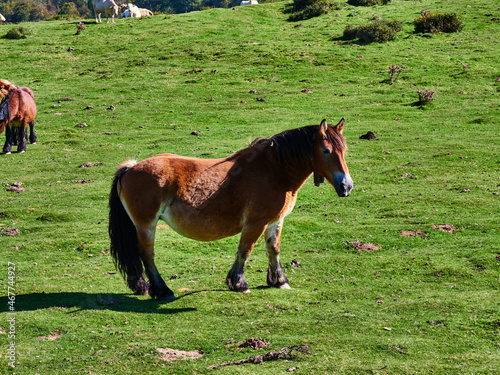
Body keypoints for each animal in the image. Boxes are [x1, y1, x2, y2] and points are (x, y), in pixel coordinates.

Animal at [108, 119, 354, 302]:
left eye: (344, 149)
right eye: (326, 150)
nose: (346, 186)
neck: (275, 171)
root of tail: (131, 168)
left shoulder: (275, 221)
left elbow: (273, 249)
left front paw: (280, 281)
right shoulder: (255, 222)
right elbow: (245, 250)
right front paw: (238, 283)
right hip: (146, 225)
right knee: (147, 254)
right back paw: (163, 291)